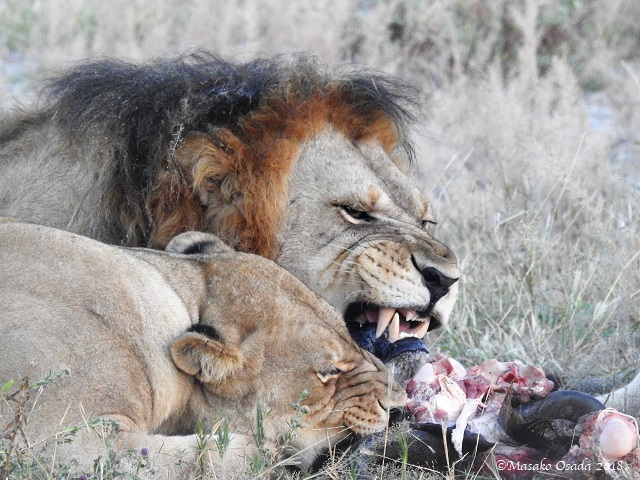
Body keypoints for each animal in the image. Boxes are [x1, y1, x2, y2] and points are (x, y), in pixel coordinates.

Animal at [0, 220, 407, 477]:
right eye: (328, 372)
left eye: (349, 335)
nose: (402, 405)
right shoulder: (49, 441)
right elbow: (183, 460)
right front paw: (266, 456)